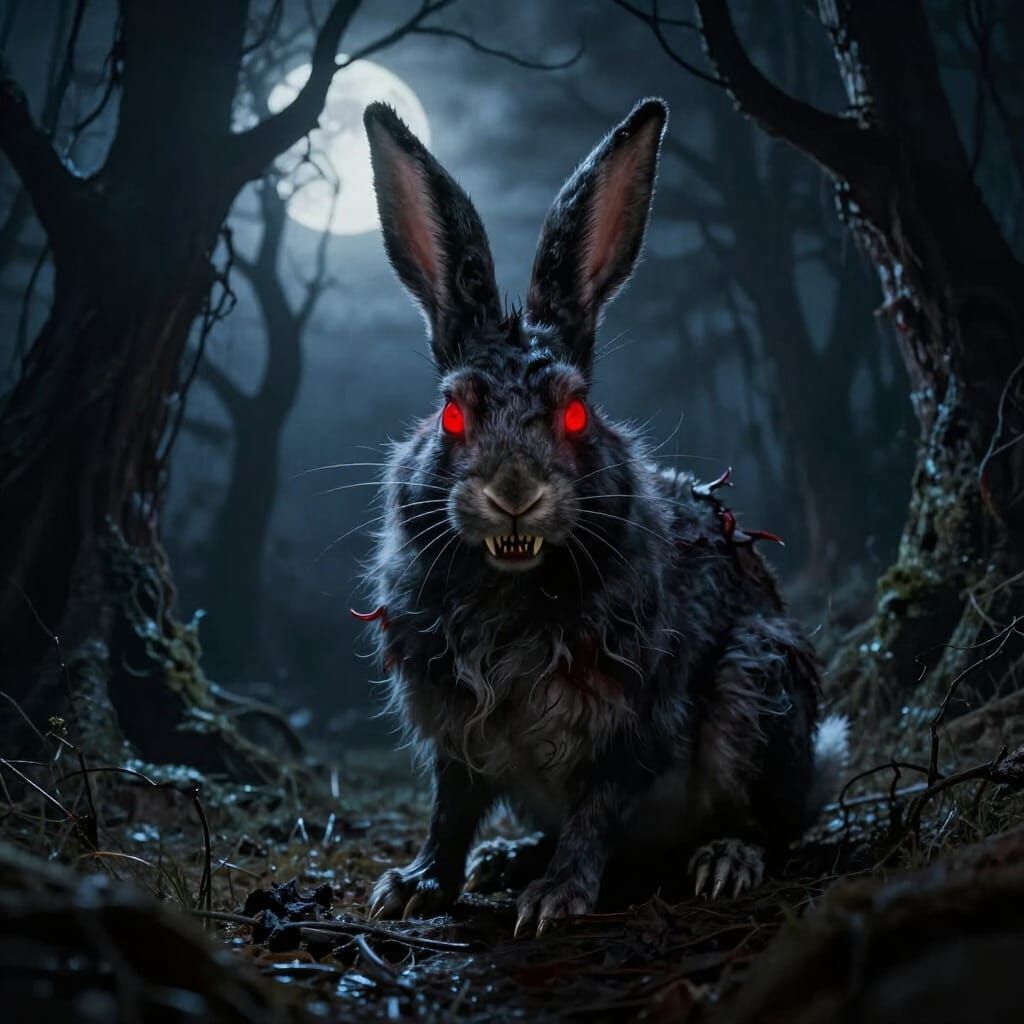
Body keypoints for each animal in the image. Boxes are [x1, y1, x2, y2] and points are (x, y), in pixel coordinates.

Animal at [357, 97, 848, 937]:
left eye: (577, 413)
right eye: (452, 415)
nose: (514, 490)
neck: (512, 584)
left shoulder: (632, 725)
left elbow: (595, 813)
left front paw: (554, 902)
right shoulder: (454, 735)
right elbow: (450, 811)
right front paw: (416, 885)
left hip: (757, 686)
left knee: (767, 821)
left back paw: (724, 861)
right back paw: (505, 859)